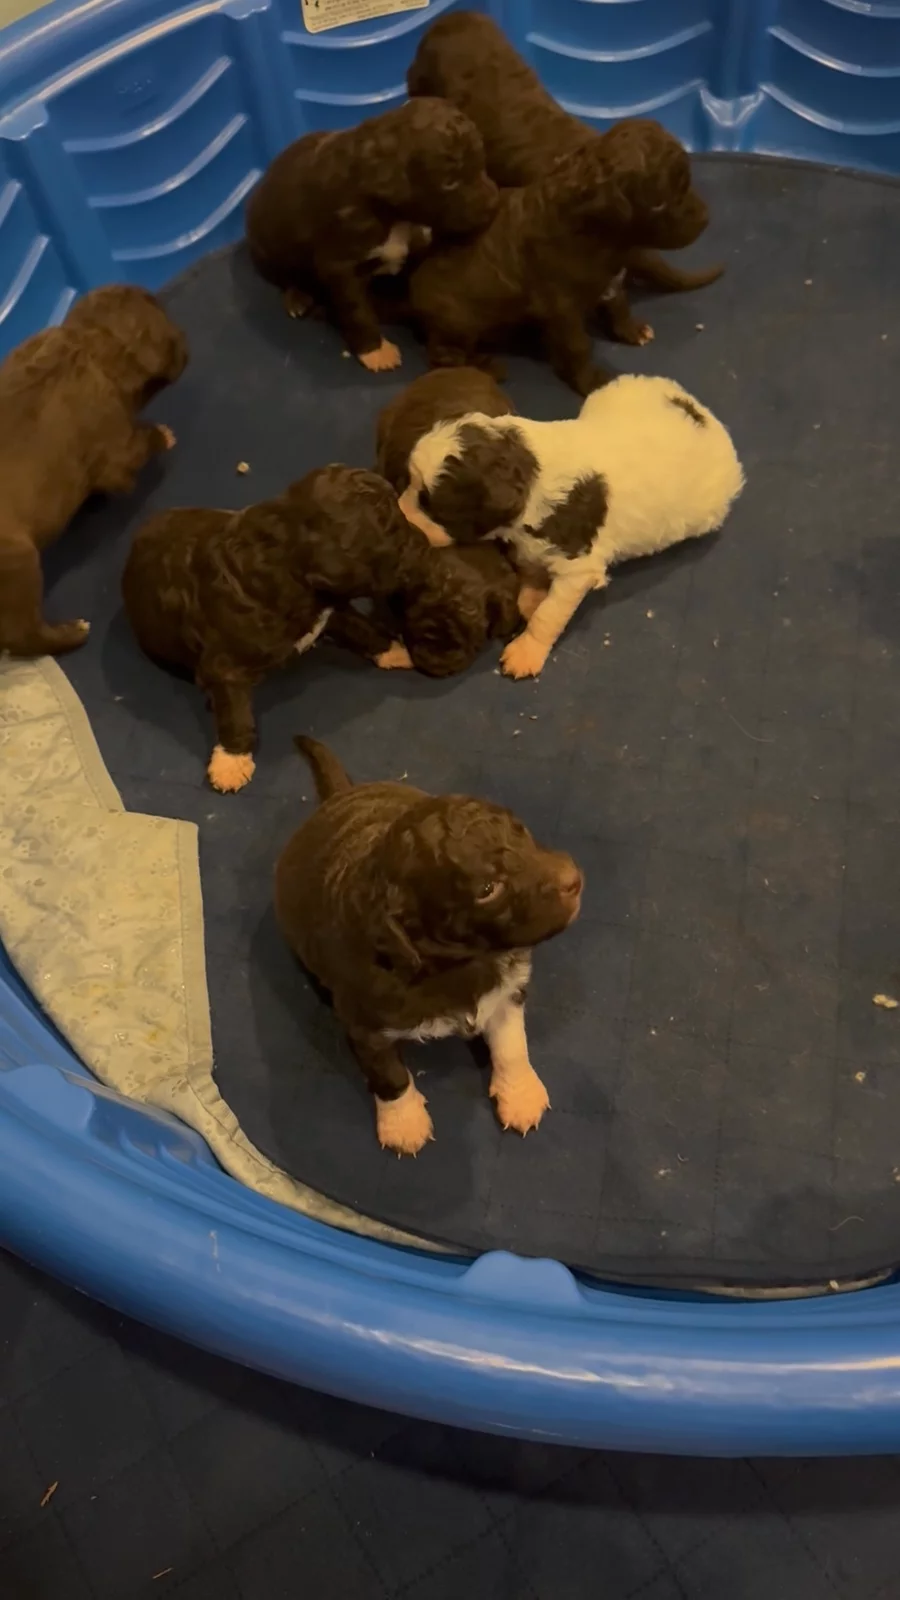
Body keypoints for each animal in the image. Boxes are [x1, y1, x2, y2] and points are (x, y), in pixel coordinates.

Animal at [0, 285, 186, 658]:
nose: (188, 343)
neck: (87, 343)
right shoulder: (117, 449)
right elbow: (138, 445)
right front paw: (162, 436)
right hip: (20, 562)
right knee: (23, 635)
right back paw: (72, 632)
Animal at [245, 99, 498, 373]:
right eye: (449, 183)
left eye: (481, 160)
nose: (493, 202)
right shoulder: (341, 266)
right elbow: (357, 311)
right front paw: (375, 351)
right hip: (269, 249)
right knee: (285, 277)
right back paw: (298, 299)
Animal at [275, 736, 583, 1154]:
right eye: (488, 889)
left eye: (523, 833)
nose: (575, 879)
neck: (461, 962)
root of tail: (339, 795)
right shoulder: (365, 1024)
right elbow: (389, 1074)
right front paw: (403, 1122)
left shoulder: (508, 987)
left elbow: (511, 1042)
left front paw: (519, 1093)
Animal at [399, 374, 745, 678]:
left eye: (429, 502)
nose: (399, 511)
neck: (532, 472)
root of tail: (704, 415)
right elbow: (530, 568)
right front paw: (530, 596)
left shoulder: (578, 568)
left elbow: (549, 614)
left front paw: (526, 651)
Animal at [405, 126, 710, 395]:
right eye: (660, 202)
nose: (706, 217)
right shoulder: (562, 307)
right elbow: (578, 345)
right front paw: (590, 380)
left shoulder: (609, 280)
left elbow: (618, 304)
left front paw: (632, 329)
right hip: (457, 322)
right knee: (443, 355)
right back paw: (487, 366)